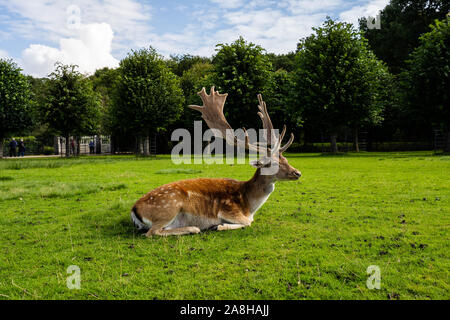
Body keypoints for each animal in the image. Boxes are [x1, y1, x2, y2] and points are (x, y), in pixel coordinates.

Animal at [130, 86, 300, 236]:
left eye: (285, 159)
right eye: (272, 163)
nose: (297, 173)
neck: (249, 205)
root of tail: (134, 209)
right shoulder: (228, 209)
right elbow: (248, 222)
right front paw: (218, 226)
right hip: (169, 208)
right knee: (151, 232)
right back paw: (194, 228)